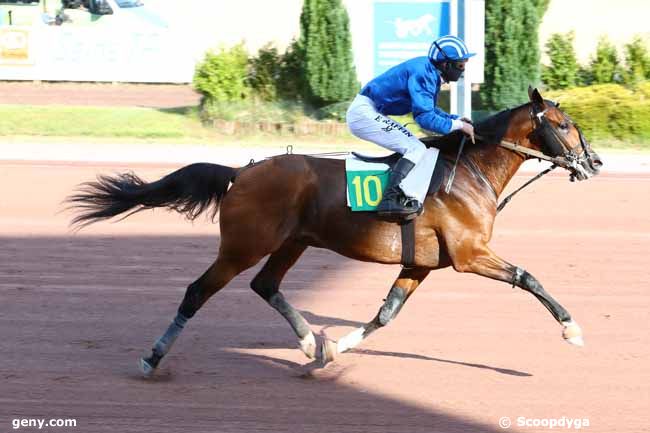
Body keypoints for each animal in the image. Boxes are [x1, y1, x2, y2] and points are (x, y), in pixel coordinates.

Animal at [68, 88, 600, 374]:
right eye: (563, 124)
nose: (593, 162)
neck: (468, 171)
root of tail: (242, 171)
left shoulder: (422, 264)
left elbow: (386, 314)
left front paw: (335, 348)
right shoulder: (471, 255)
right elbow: (528, 277)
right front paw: (572, 328)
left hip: (292, 243)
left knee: (266, 286)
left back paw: (311, 344)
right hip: (244, 245)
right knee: (198, 291)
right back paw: (152, 358)